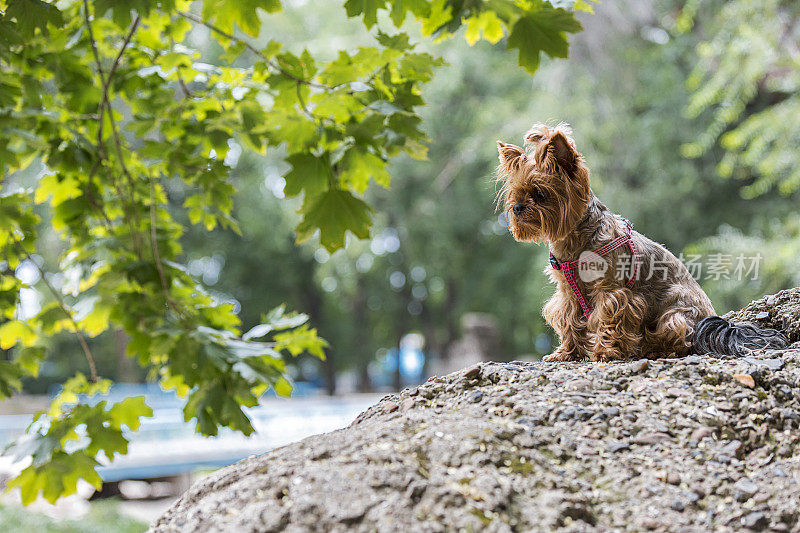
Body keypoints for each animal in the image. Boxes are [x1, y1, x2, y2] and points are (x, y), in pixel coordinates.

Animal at [496, 122, 784, 360]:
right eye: (515, 194)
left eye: (540, 193)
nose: (517, 208)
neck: (575, 239)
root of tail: (718, 320)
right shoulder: (568, 294)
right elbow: (569, 321)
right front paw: (566, 354)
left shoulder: (612, 291)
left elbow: (609, 319)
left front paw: (605, 352)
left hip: (674, 314)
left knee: (680, 340)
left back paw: (656, 350)